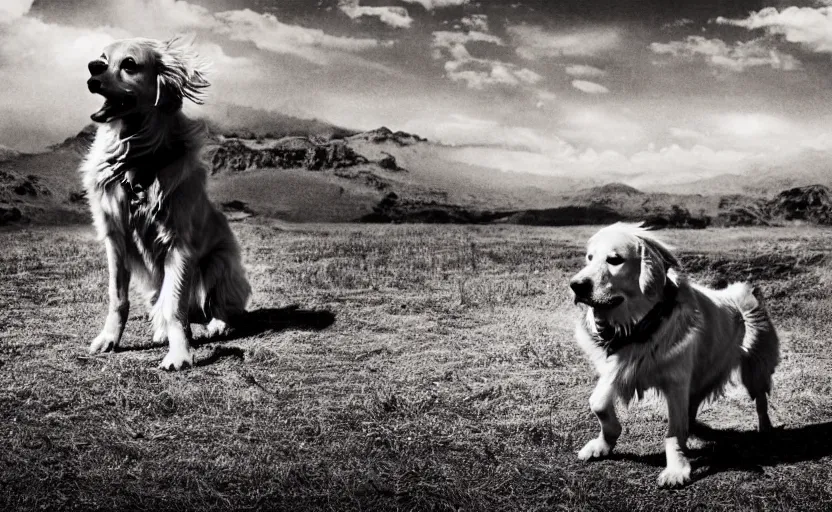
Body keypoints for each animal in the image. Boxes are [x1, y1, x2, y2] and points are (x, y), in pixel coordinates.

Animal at [81, 38, 252, 370]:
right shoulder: (116, 240)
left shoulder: (179, 245)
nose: (92, 67)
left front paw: (180, 353)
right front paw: (109, 339)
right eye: (102, 58)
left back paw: (217, 324)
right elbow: (118, 298)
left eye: (129, 63)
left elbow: (174, 306)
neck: (135, 161)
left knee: (216, 304)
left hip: (218, 264)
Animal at [568, 224, 776, 488]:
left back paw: (765, 429)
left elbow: (674, 431)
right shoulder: (620, 366)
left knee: (760, 400)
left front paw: (677, 468)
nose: (575, 285)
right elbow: (598, 403)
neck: (641, 326)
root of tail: (742, 291)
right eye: (589, 258)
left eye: (615, 260)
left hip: (755, 368)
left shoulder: (676, 380)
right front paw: (604, 444)